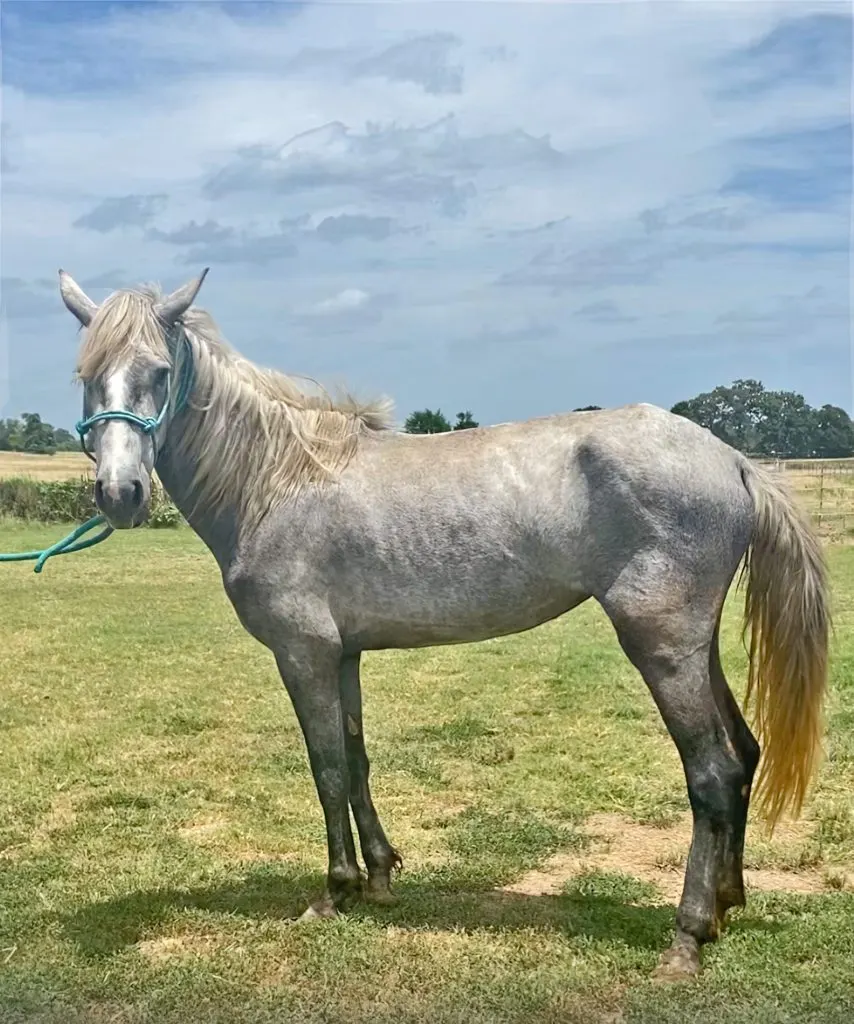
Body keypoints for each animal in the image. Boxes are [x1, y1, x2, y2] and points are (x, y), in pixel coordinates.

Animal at [56, 267, 830, 982]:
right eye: (87, 376)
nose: (121, 494)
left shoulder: (302, 653)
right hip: (696, 647)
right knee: (744, 755)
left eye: (159, 372)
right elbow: (356, 758)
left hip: (661, 645)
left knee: (712, 772)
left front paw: (334, 893)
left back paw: (688, 936)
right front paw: (379, 876)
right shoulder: (344, 654)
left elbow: (325, 766)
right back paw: (727, 904)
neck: (277, 481)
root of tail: (732, 459)